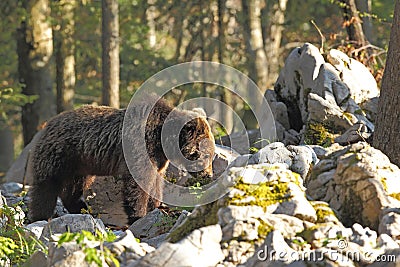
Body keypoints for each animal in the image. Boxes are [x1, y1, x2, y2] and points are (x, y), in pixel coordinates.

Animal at [27, 97, 216, 223]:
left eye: (212, 154)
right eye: (206, 155)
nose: (208, 175)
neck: (163, 141)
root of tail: (48, 125)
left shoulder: (158, 159)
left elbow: (155, 182)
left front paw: (159, 207)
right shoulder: (141, 147)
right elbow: (137, 183)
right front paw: (139, 214)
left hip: (81, 163)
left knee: (74, 187)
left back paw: (83, 208)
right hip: (61, 155)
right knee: (47, 186)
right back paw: (41, 216)